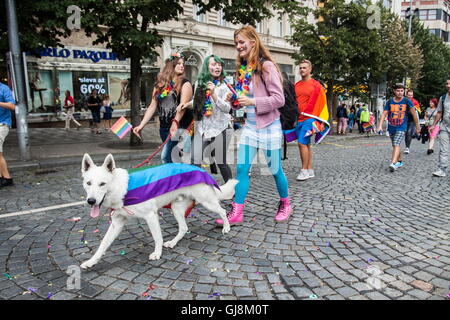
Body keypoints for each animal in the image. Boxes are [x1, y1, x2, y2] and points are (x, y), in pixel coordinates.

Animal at [80, 154, 239, 268]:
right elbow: (102, 245)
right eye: (88, 183)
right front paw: (91, 261)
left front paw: (157, 253)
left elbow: (157, 237)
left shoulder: (150, 216)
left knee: (222, 211)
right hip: (176, 208)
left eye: (102, 184)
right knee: (183, 228)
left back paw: (226, 227)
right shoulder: (117, 223)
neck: (122, 189)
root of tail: (201, 170)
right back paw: (173, 243)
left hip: (207, 202)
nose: (91, 201)